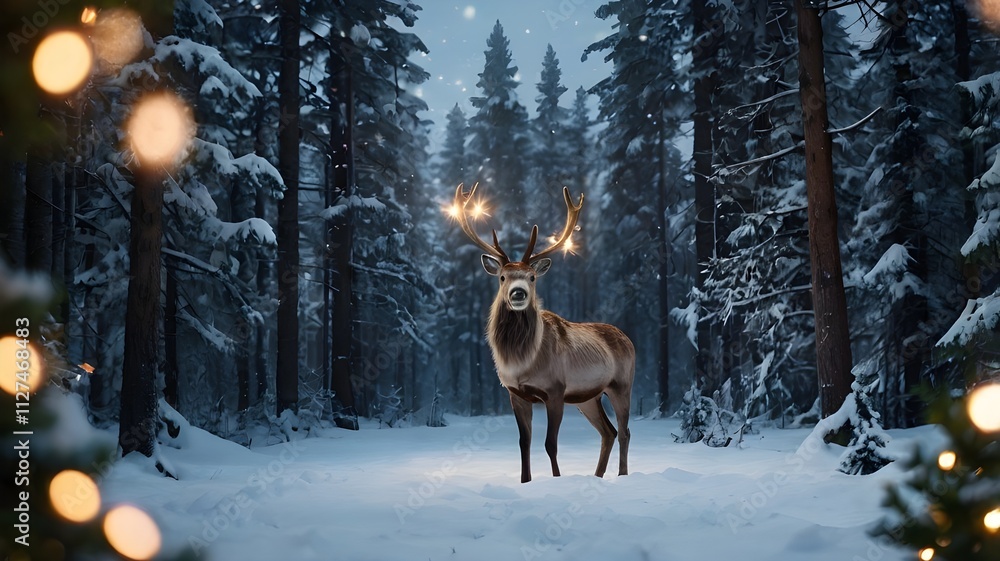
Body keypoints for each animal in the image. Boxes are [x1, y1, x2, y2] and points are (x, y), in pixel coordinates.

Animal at [453, 183, 635, 483]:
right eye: (502, 277)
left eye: (532, 277)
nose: (518, 293)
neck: (523, 361)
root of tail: (629, 339)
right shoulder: (515, 394)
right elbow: (523, 442)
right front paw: (525, 481)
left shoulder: (555, 390)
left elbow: (551, 444)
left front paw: (557, 479)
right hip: (588, 397)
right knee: (608, 432)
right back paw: (597, 476)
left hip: (622, 384)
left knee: (624, 431)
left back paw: (621, 476)